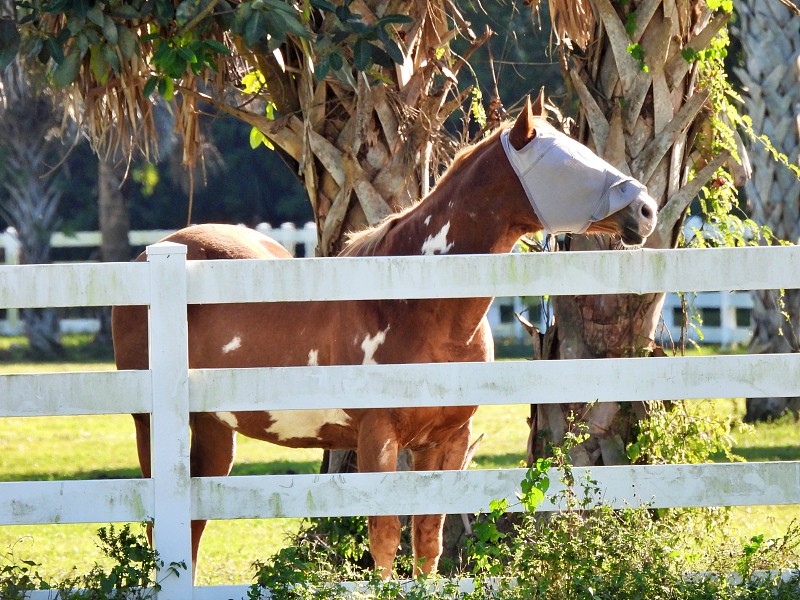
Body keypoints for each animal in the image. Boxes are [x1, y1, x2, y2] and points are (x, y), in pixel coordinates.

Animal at [114, 95, 664, 580]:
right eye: (566, 159)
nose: (646, 210)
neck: (413, 305)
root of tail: (153, 253)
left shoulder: (445, 440)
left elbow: (427, 538)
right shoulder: (377, 438)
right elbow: (383, 536)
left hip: (212, 429)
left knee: (192, 527)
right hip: (150, 426)